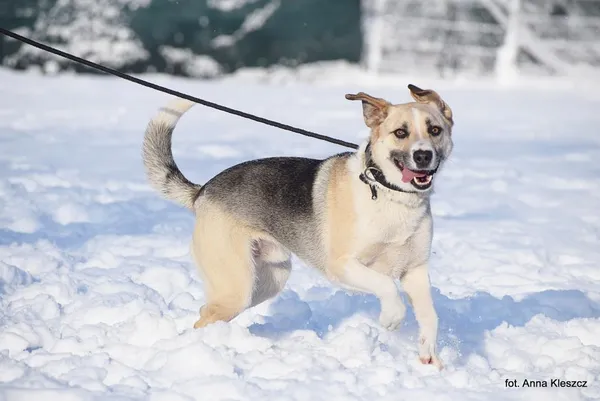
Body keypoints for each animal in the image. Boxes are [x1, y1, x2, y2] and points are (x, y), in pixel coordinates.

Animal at [143, 84, 454, 368]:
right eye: (400, 133)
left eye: (435, 130)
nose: (423, 156)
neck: (388, 192)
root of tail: (202, 191)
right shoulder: (342, 265)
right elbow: (386, 284)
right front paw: (392, 317)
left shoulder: (415, 270)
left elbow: (430, 316)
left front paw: (430, 360)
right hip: (237, 286)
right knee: (204, 317)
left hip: (267, 280)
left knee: (206, 310)